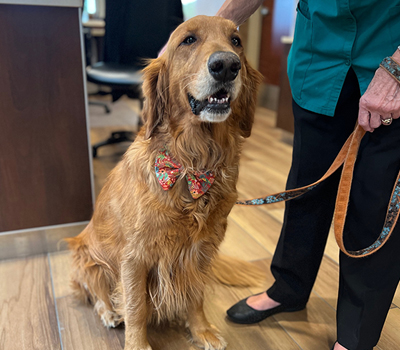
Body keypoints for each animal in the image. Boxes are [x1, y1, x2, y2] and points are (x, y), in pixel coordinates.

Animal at [67, 14, 264, 350]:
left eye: (236, 41)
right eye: (188, 40)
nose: (227, 65)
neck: (192, 164)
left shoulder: (201, 251)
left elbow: (195, 296)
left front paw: (202, 331)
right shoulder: (134, 257)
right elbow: (135, 307)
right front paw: (136, 343)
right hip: (87, 257)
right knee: (97, 292)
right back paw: (109, 312)